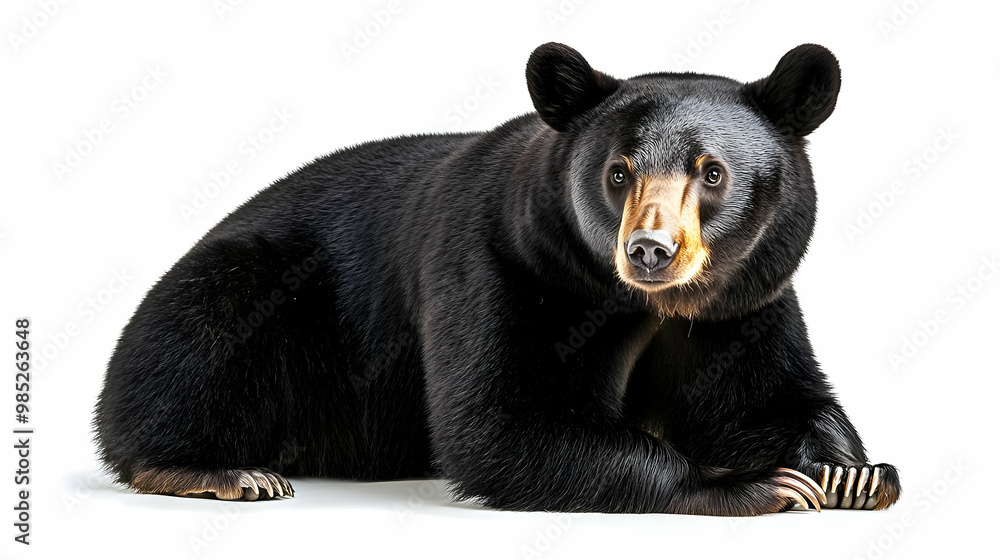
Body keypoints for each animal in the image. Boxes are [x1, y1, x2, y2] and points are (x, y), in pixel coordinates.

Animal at [94, 42, 900, 514]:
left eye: (711, 173)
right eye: (618, 172)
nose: (649, 251)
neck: (642, 304)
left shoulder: (747, 301)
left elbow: (769, 390)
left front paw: (852, 471)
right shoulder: (497, 265)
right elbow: (502, 420)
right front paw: (747, 482)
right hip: (245, 286)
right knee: (196, 346)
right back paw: (219, 470)